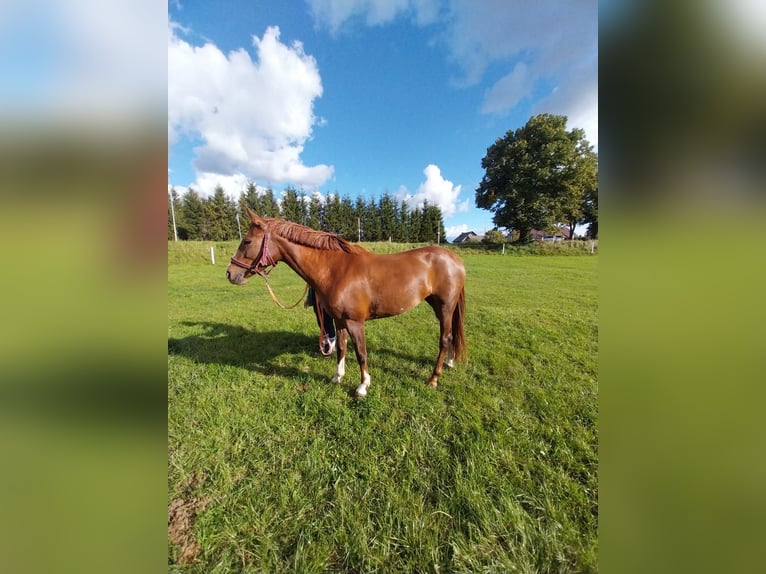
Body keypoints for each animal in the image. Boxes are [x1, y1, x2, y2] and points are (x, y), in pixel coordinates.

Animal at [226, 208, 466, 397]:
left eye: (247, 241)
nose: (230, 274)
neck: (335, 270)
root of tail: (455, 259)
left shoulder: (354, 322)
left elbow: (361, 353)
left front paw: (363, 386)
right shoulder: (339, 320)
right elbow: (341, 348)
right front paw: (337, 376)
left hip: (445, 307)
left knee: (445, 339)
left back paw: (433, 379)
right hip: (437, 305)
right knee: (451, 337)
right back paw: (450, 363)